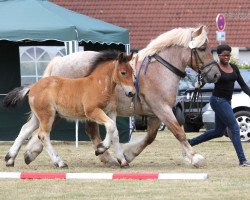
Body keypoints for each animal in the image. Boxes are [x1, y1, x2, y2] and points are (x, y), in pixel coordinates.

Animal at [3, 50, 135, 168]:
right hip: (48, 115)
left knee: (25, 129)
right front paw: (100, 148)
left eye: (133, 72)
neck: (99, 85)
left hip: (40, 116)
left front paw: (123, 161)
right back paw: (60, 163)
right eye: (123, 72)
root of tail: (33, 86)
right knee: (43, 135)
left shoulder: (111, 112)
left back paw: (10, 159)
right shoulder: (92, 111)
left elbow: (115, 132)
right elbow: (111, 126)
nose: (131, 93)